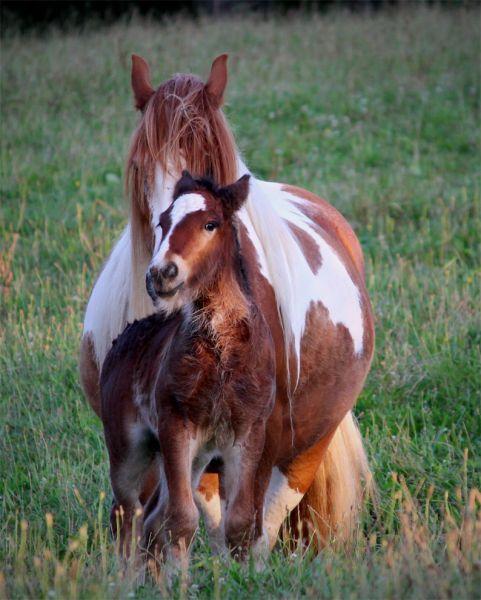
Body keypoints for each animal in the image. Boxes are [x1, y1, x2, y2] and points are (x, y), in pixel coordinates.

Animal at [80, 54, 376, 552]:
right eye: (140, 164)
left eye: (205, 160)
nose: (165, 270)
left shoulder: (249, 440)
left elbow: (236, 525)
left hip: (305, 447)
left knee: (267, 521)